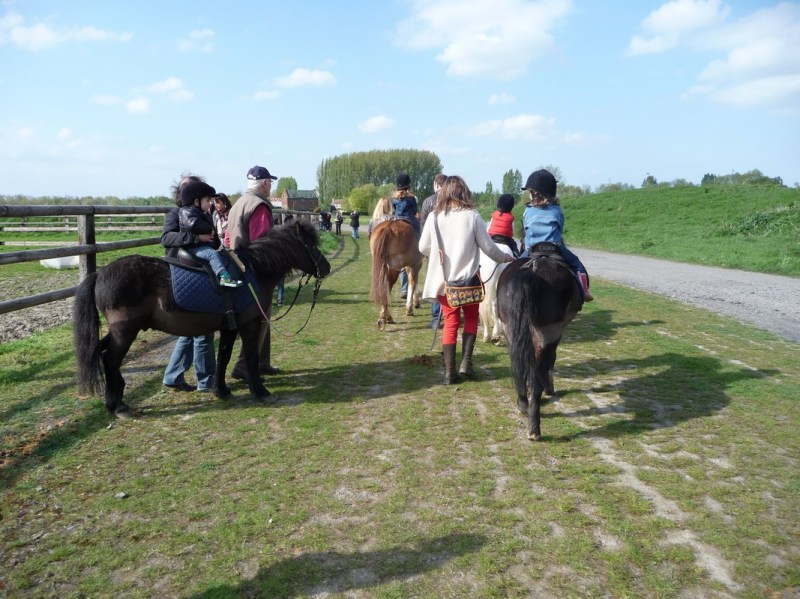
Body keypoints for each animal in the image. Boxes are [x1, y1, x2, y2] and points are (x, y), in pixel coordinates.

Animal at [72, 219, 328, 418]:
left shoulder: (229, 327)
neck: (252, 272)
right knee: (110, 359)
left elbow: (223, 356)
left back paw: (116, 396)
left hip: (121, 331)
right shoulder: (249, 324)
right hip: (125, 331)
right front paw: (261, 392)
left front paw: (221, 390)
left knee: (101, 352)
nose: (325, 267)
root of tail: (99, 274)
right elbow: (251, 356)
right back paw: (118, 406)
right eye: (310, 245)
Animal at [494, 246, 580, 442]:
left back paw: (523, 404)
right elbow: (551, 362)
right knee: (537, 377)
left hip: (511, 330)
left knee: (517, 366)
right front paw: (550, 389)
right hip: (548, 334)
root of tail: (529, 271)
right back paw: (534, 429)